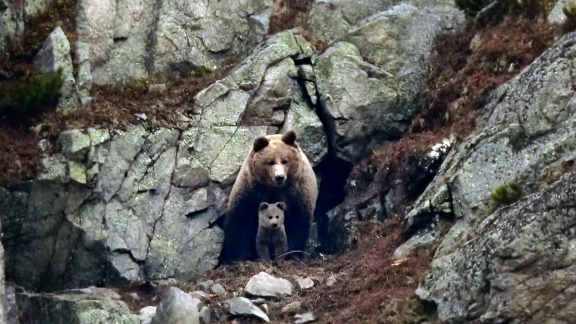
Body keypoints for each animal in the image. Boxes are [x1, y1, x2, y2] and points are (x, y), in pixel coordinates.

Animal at [220, 130, 320, 264]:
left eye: (285, 160)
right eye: (270, 162)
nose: (279, 177)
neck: (273, 187)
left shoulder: (295, 193)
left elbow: (297, 221)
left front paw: (293, 255)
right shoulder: (252, 191)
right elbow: (240, 221)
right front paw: (236, 257)